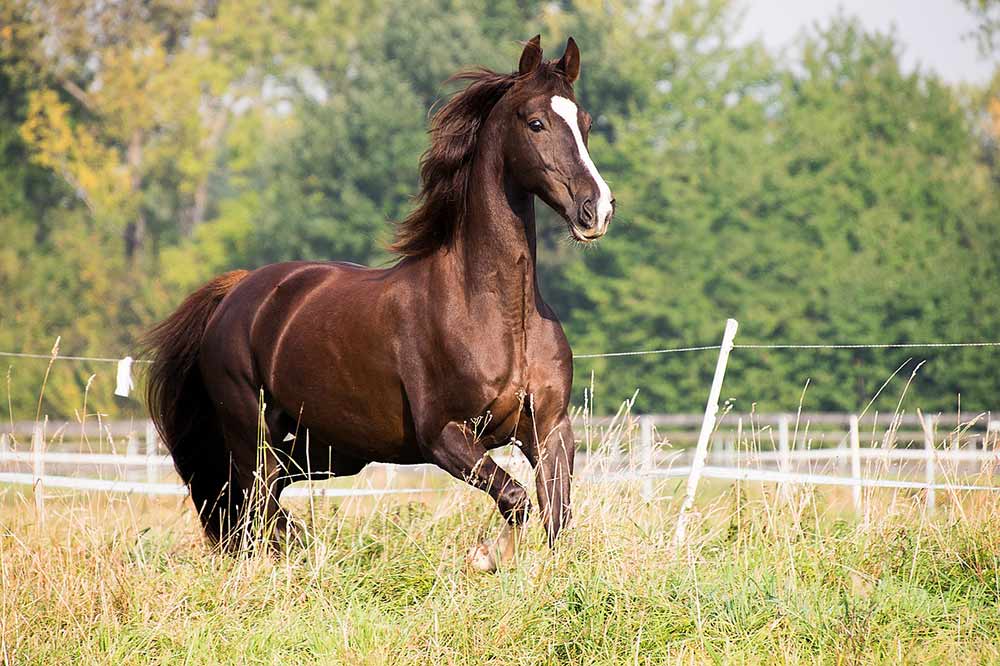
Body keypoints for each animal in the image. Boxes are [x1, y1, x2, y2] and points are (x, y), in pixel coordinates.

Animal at [146, 33, 616, 568]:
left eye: (585, 123)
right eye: (536, 123)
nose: (596, 209)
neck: (497, 313)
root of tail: (239, 293)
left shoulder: (551, 429)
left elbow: (557, 515)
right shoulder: (443, 436)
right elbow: (516, 499)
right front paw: (486, 557)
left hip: (325, 448)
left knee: (265, 498)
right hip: (250, 431)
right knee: (254, 504)